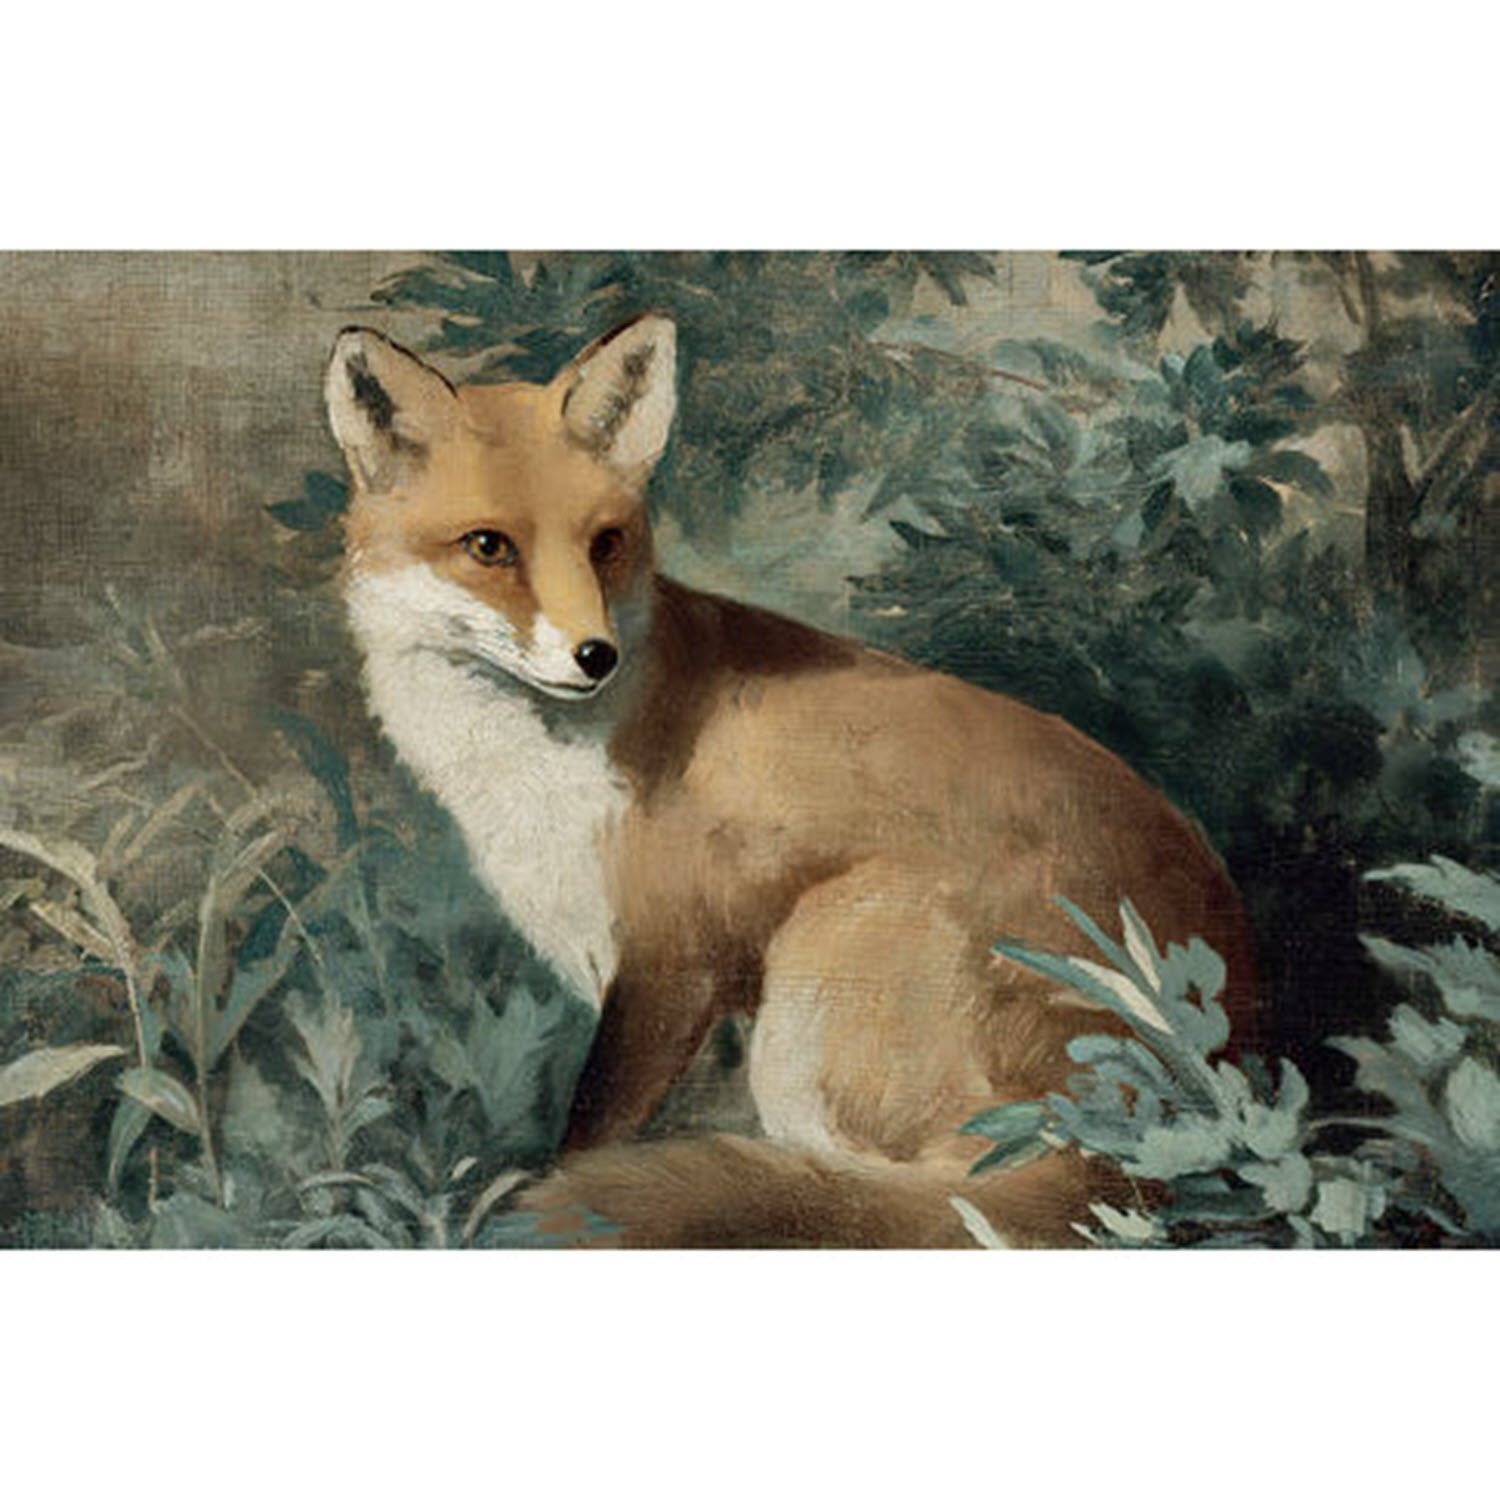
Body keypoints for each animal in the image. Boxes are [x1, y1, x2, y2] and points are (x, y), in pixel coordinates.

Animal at [324, 312, 1260, 1248]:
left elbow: (594, 1130)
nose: (596, 656)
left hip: (815, 990)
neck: (538, 774)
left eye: (605, 543)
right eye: (489, 547)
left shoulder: (674, 962)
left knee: (896, 1209)